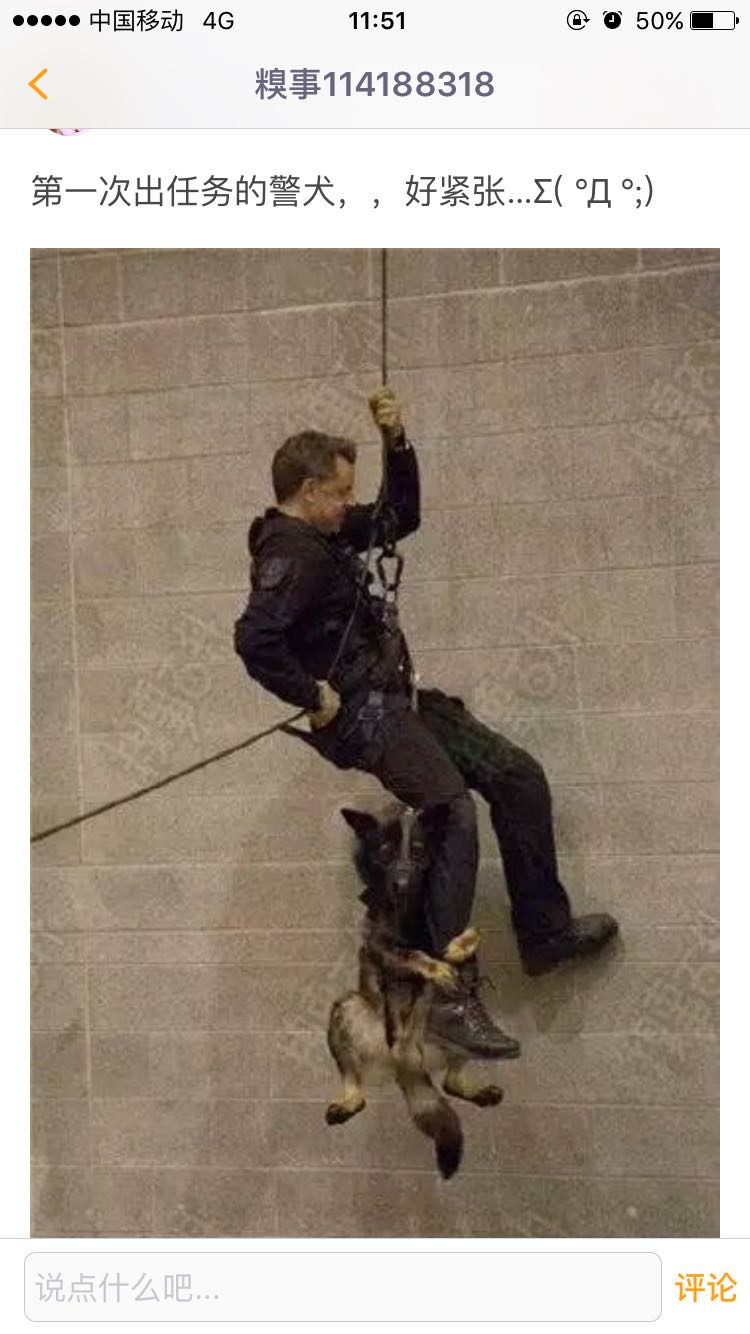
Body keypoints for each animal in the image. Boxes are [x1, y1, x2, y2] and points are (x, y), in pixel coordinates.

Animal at [325, 802, 504, 1180]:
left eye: (419, 852)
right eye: (385, 853)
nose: (404, 884)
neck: (408, 914)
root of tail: (401, 1060)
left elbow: (467, 934)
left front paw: (460, 947)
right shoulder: (381, 947)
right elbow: (413, 954)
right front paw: (436, 966)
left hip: (456, 1042)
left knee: (451, 1082)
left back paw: (477, 1091)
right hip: (345, 1009)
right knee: (356, 1085)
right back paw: (346, 1103)